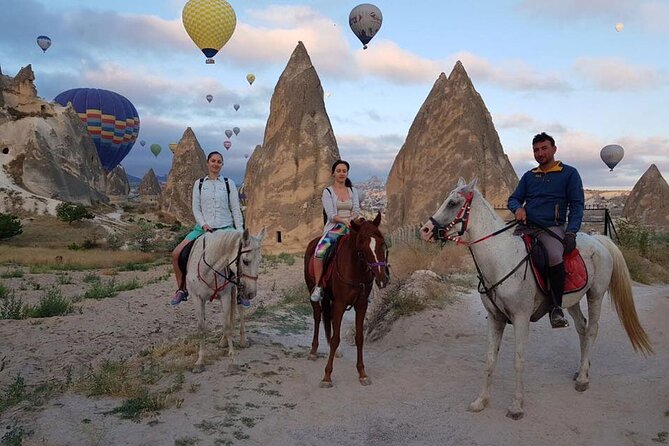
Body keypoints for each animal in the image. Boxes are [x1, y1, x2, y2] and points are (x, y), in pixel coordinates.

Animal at [185, 226, 266, 372]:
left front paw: (232, 361)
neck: (209, 269)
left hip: (237, 291)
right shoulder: (197, 298)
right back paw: (223, 341)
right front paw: (200, 362)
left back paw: (242, 340)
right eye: (245, 261)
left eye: (260, 261)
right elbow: (201, 328)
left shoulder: (225, 295)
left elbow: (227, 326)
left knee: (238, 310)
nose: (252, 293)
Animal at [304, 213, 392, 386]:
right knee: (318, 316)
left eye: (382, 243)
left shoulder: (361, 305)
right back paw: (313, 351)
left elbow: (359, 337)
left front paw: (362, 373)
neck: (356, 270)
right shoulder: (340, 304)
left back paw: (336, 352)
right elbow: (335, 338)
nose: (382, 279)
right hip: (313, 292)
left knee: (329, 319)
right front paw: (327, 376)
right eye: (362, 249)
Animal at [420, 177, 648, 418]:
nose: (425, 230)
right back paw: (581, 370)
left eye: (453, 203)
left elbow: (518, 361)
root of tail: (599, 241)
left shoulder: (520, 319)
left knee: (592, 330)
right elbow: (490, 359)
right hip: (572, 301)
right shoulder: (495, 318)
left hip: (595, 295)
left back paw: (583, 380)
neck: (503, 259)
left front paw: (516, 406)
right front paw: (481, 401)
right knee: (582, 328)